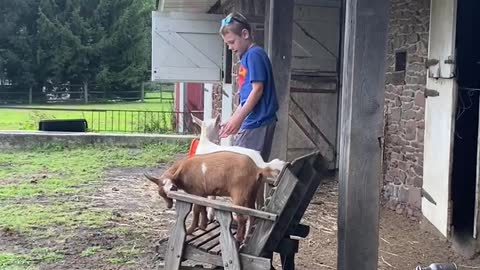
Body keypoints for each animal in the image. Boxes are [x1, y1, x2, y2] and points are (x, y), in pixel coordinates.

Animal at [144, 152, 276, 243]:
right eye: (160, 193)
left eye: (173, 188)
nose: (169, 205)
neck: (182, 172)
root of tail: (257, 169)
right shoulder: (202, 193)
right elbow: (203, 208)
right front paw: (203, 225)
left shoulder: (196, 192)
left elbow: (196, 210)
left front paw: (191, 230)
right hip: (251, 194)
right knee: (252, 215)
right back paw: (246, 238)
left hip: (240, 193)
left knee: (243, 218)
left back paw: (239, 239)